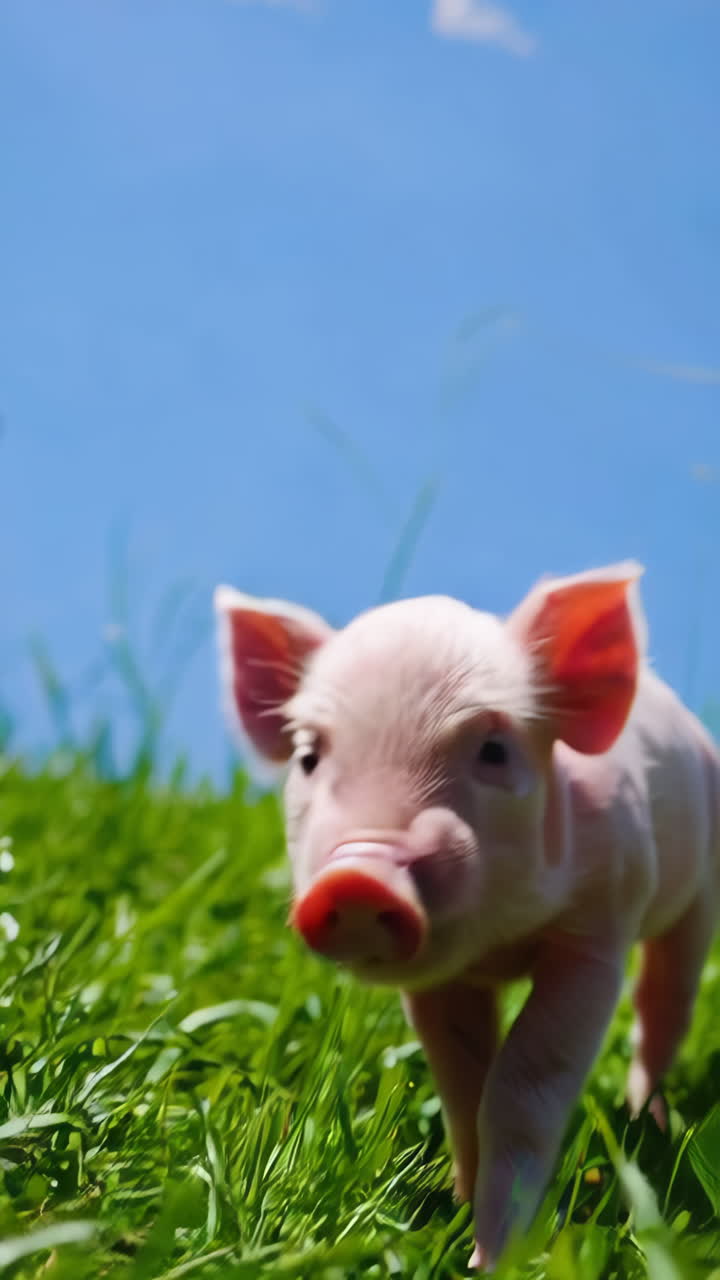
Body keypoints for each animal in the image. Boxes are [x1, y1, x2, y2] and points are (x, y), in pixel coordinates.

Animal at [213, 563, 720, 1271]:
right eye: (309, 756)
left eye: (494, 750)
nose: (359, 873)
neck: (498, 942)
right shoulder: (439, 982)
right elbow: (461, 1087)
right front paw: (457, 1216)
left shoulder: (597, 933)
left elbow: (524, 1084)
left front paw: (494, 1260)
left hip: (700, 890)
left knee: (665, 1004)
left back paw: (647, 1121)